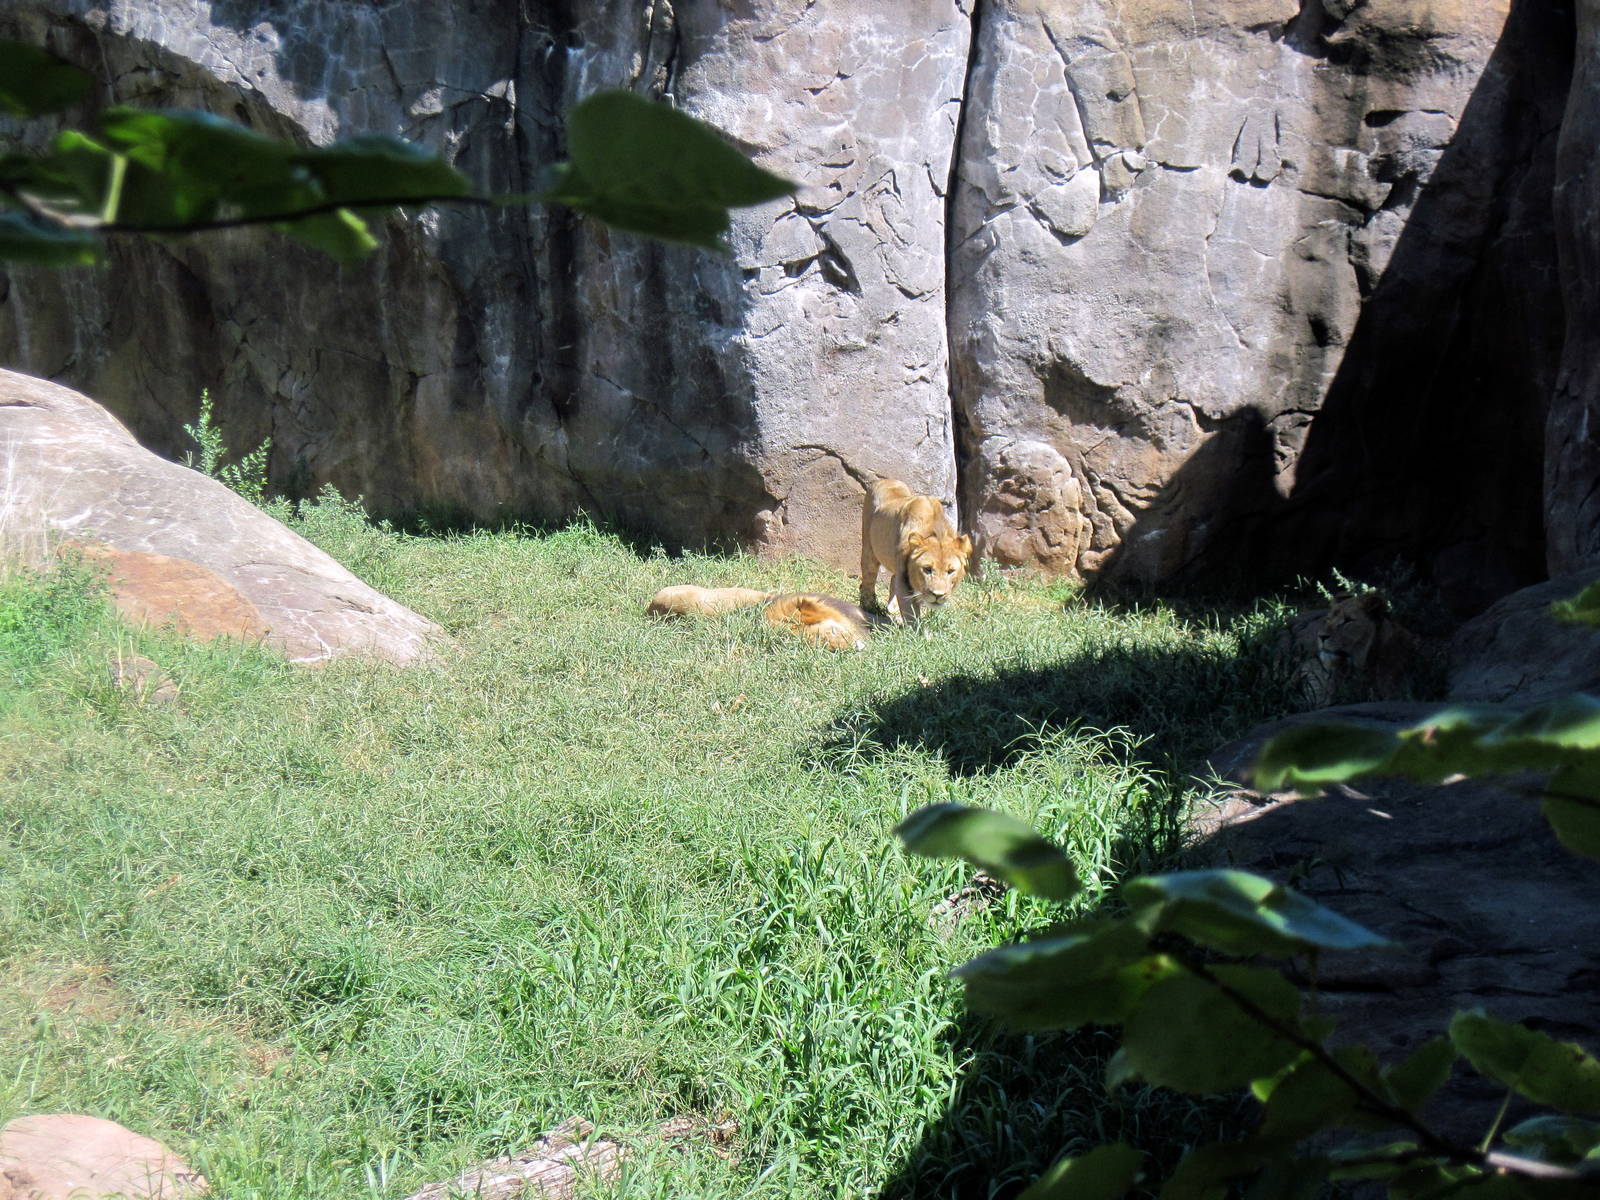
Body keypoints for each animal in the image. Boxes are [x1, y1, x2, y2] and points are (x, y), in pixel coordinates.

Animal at [859, 478, 973, 622]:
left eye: (951, 571)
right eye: (927, 569)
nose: (938, 595)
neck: (936, 533)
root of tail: (882, 480)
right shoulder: (904, 578)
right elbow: (911, 613)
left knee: (891, 579)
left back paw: (892, 609)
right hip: (869, 547)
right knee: (868, 579)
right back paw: (869, 607)